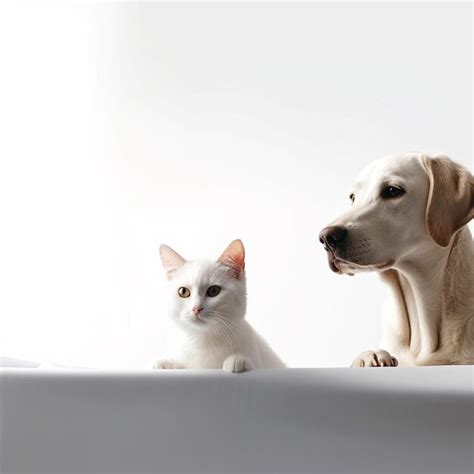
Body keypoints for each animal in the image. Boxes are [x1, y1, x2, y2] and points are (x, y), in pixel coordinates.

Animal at [153, 239, 286, 372]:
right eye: (183, 292)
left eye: (213, 291)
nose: (196, 308)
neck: (204, 341)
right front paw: (167, 363)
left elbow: (255, 365)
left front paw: (238, 360)